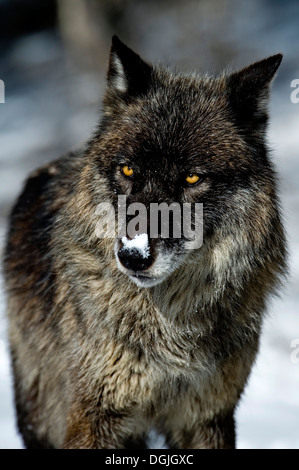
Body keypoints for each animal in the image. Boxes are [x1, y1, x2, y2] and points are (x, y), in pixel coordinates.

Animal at [2, 35, 288, 448]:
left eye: (191, 178)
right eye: (127, 169)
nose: (133, 256)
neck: (170, 325)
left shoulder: (207, 416)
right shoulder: (92, 417)